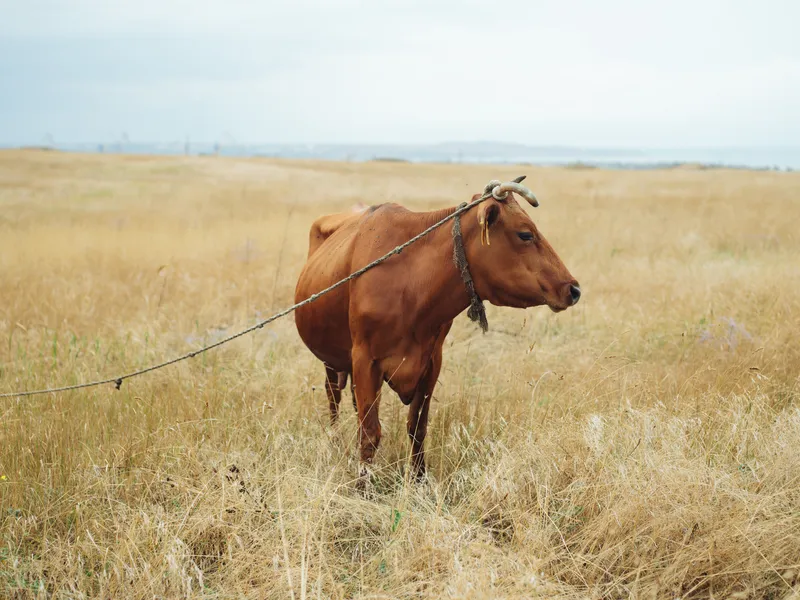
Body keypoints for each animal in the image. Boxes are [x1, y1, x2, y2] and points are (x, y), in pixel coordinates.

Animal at [293, 177, 580, 482]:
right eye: (526, 234)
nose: (573, 289)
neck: (410, 283)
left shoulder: (431, 362)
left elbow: (417, 427)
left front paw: (419, 479)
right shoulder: (364, 360)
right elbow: (370, 432)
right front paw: (363, 485)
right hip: (331, 360)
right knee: (333, 395)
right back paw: (335, 441)